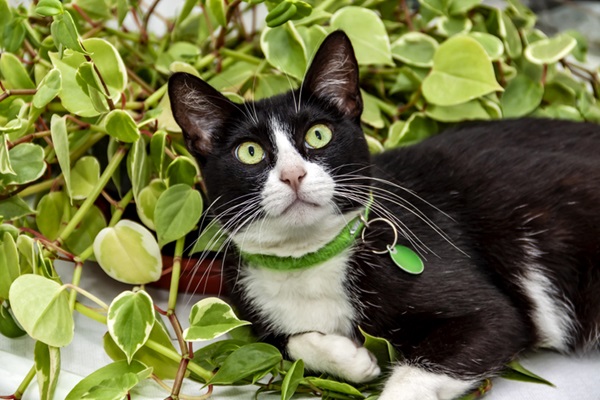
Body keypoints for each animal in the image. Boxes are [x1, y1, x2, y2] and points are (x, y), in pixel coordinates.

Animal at [168, 29, 600, 398]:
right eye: (250, 152)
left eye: (318, 135)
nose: (293, 174)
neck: (308, 259)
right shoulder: (247, 304)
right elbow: (284, 342)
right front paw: (351, 359)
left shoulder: (489, 313)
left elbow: (481, 330)